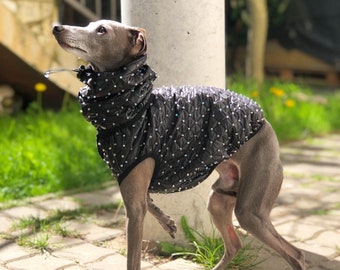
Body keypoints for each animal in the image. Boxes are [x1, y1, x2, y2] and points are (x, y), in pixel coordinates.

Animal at [53, 20, 306, 270]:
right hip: (219, 199)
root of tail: (264, 122)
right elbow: (147, 199)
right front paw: (167, 222)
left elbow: (133, 258)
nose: (57, 28)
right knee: (235, 245)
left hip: (250, 209)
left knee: (295, 253)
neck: (133, 110)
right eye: (90, 24)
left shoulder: (134, 204)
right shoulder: (130, 179)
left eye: (102, 30)